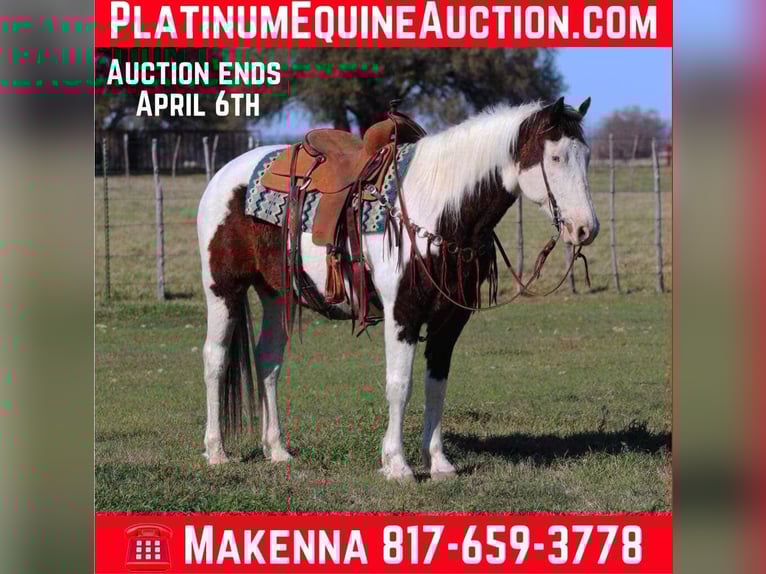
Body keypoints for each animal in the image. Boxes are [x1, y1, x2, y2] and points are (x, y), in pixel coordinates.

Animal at [196, 96, 599, 481]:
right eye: (556, 157)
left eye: (587, 157)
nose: (586, 229)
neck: (438, 207)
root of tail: (223, 176)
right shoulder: (402, 312)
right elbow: (399, 384)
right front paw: (397, 464)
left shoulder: (450, 318)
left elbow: (436, 385)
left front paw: (438, 462)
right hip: (223, 289)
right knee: (215, 359)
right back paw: (216, 452)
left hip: (277, 294)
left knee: (268, 360)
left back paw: (277, 450)